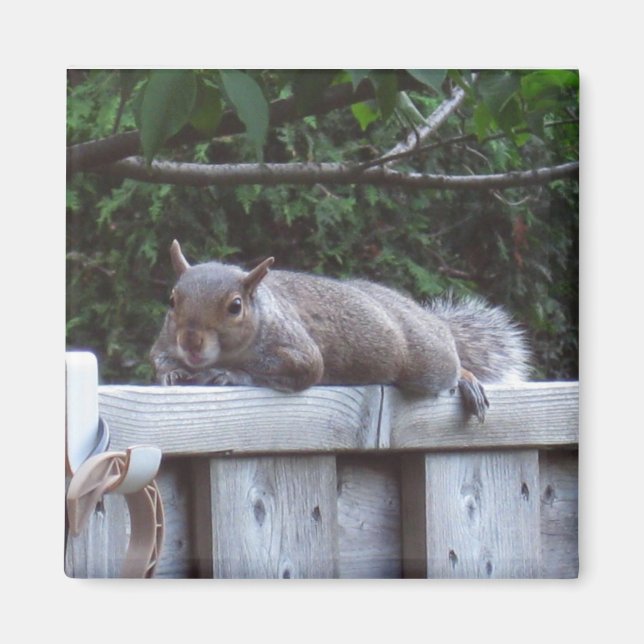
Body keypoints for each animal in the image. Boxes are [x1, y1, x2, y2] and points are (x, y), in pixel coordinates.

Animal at [150, 240, 530, 422]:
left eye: (235, 306)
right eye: (171, 300)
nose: (191, 342)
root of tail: (421, 314)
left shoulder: (299, 351)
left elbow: (299, 371)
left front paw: (228, 375)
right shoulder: (164, 343)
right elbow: (159, 359)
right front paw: (171, 374)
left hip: (426, 360)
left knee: (450, 364)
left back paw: (466, 379)